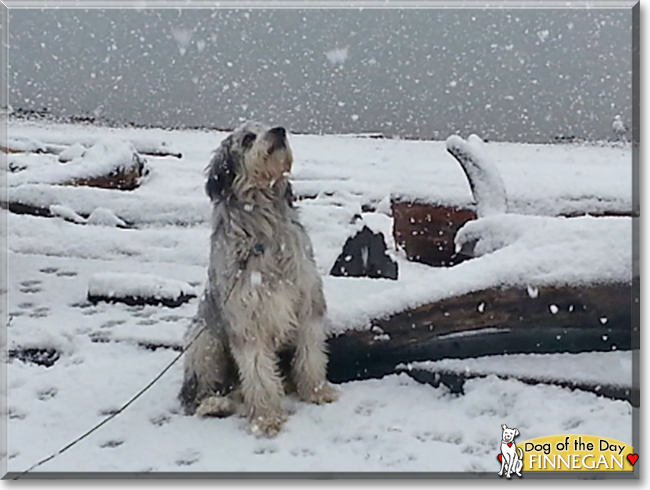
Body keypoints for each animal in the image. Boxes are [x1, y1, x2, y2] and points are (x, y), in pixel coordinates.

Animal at [178, 121, 336, 436]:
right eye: (248, 138)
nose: (280, 130)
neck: (264, 231)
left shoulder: (307, 301)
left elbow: (311, 354)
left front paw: (316, 391)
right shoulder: (247, 318)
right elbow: (258, 372)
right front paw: (266, 418)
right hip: (204, 339)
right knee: (198, 389)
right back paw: (213, 403)